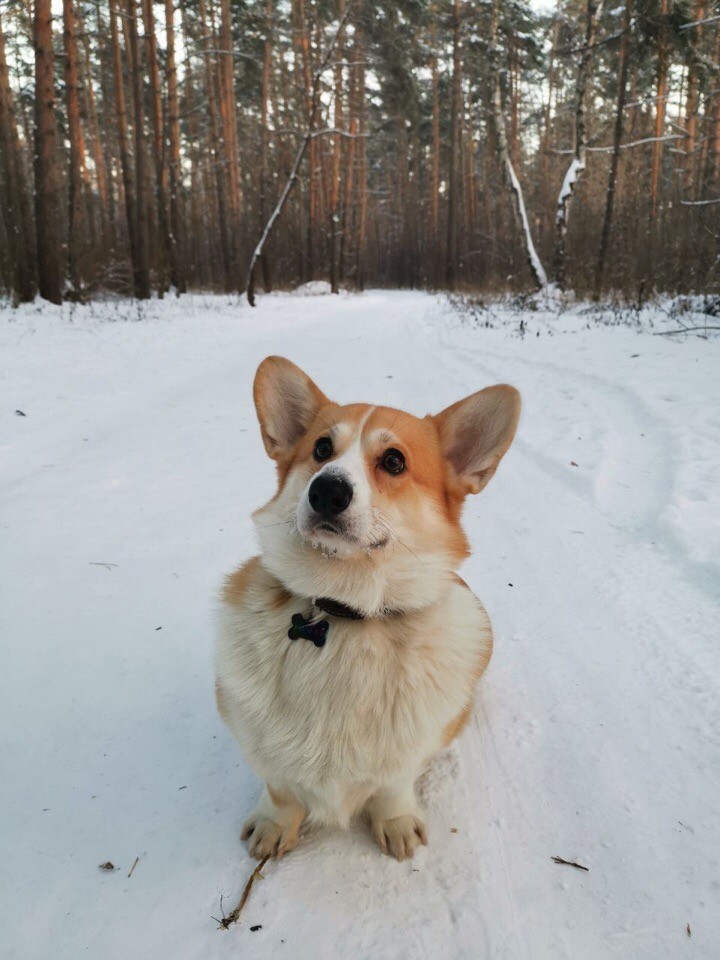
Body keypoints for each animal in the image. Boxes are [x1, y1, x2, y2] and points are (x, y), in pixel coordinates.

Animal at [217, 358, 520, 864]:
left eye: (394, 461)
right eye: (321, 448)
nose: (327, 490)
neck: (344, 611)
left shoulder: (407, 755)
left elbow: (393, 789)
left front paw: (395, 823)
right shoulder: (259, 743)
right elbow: (280, 790)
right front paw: (276, 824)